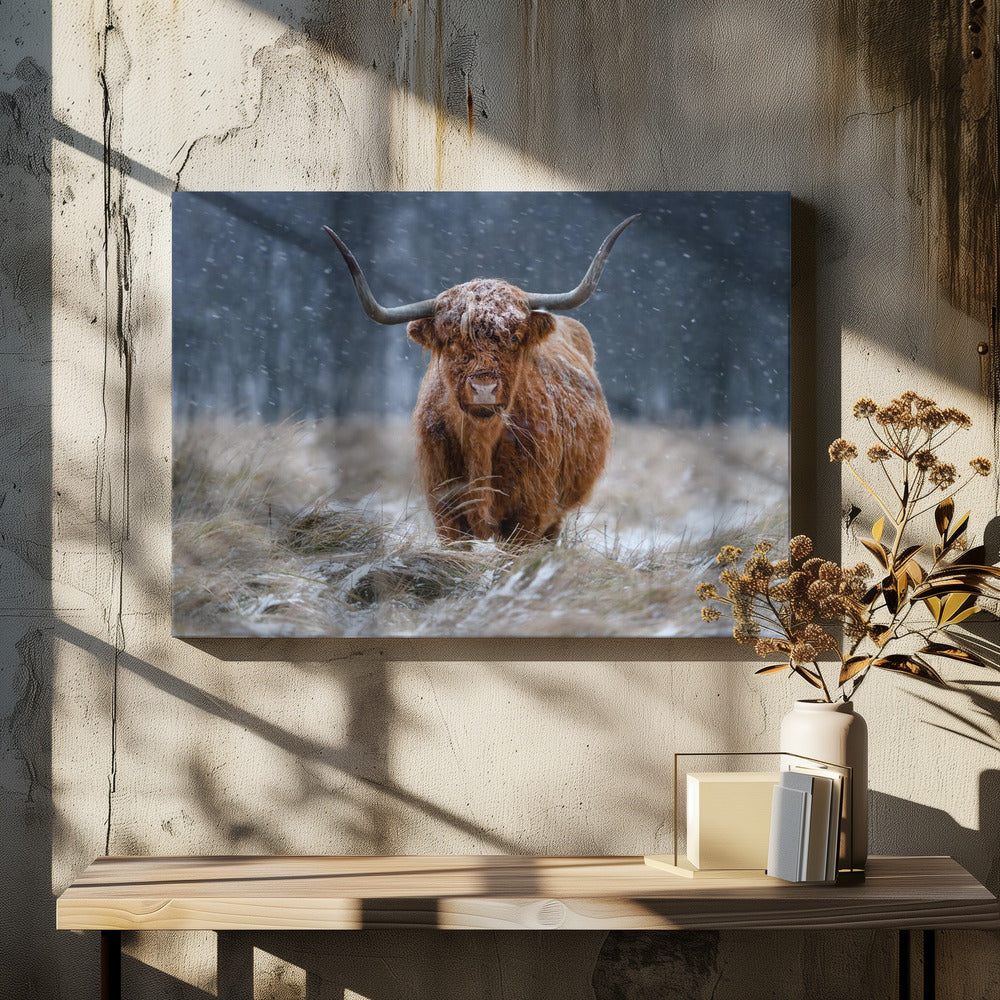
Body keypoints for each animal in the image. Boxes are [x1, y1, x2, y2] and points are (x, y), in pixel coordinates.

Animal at [323, 214, 638, 545]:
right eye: (452, 340)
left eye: (514, 337)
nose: (484, 389)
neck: (480, 443)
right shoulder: (446, 513)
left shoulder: (529, 516)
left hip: (555, 516)